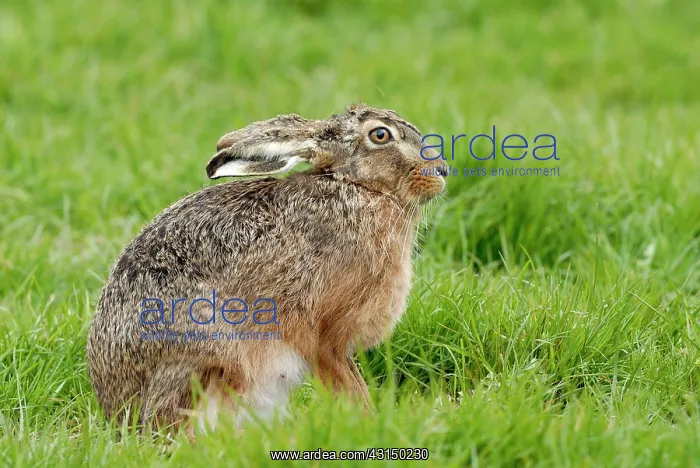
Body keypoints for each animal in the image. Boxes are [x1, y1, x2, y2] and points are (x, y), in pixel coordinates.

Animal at [87, 103, 446, 433]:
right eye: (380, 135)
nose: (442, 170)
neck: (357, 187)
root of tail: (117, 413)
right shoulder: (327, 337)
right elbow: (348, 384)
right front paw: (367, 422)